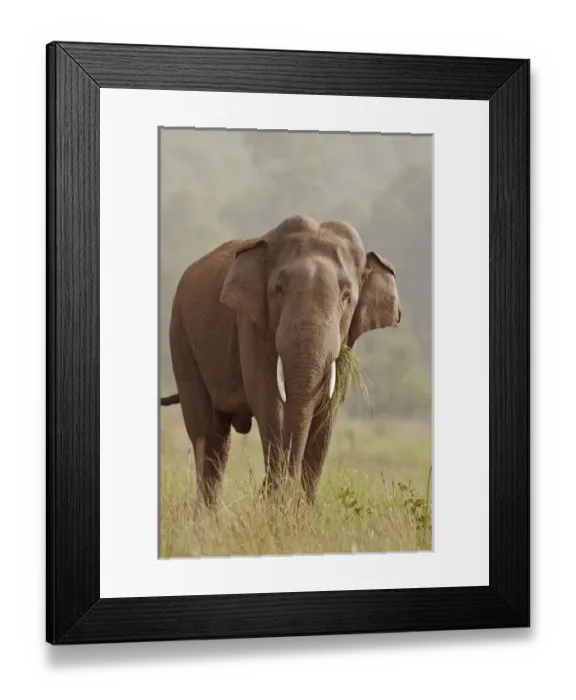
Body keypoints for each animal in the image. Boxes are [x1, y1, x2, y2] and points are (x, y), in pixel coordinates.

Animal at [160, 215, 401, 510]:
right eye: (278, 289)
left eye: (347, 297)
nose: (267, 491)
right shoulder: (251, 323)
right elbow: (268, 400)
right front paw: (277, 505)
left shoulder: (346, 343)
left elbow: (327, 411)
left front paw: (300, 513)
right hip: (180, 336)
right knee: (207, 431)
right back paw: (206, 517)